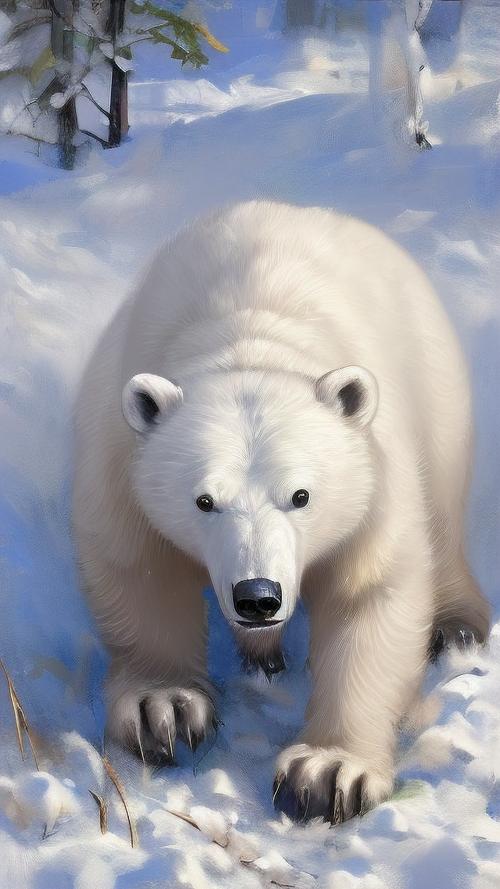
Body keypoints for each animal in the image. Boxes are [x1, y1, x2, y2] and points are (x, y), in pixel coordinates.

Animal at [73, 200, 490, 824]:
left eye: (301, 496)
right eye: (204, 500)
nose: (258, 596)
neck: (246, 341)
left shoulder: (371, 479)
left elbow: (369, 595)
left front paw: (329, 772)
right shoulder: (124, 464)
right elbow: (139, 570)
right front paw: (163, 708)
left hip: (436, 390)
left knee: (443, 508)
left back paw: (459, 628)